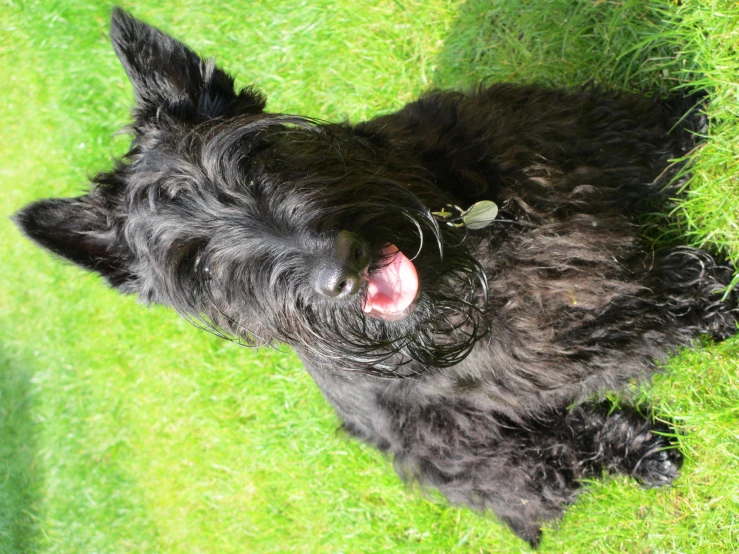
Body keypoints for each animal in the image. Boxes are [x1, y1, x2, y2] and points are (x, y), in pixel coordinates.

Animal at [13, 7, 739, 544]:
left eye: (249, 158)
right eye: (197, 264)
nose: (340, 270)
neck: (461, 248)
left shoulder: (564, 140)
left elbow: (642, 135)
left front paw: (699, 110)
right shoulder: (559, 344)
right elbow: (649, 312)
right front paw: (717, 296)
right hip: (470, 457)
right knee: (554, 459)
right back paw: (640, 451)